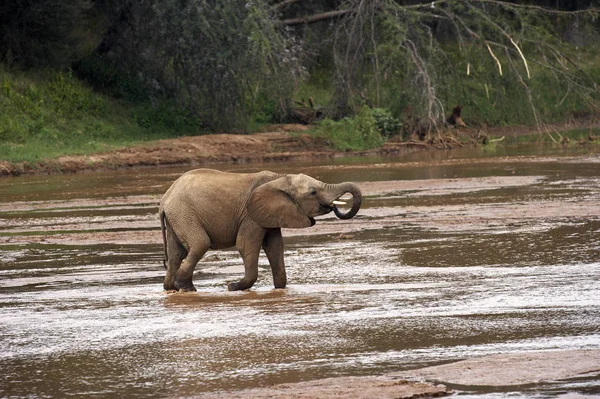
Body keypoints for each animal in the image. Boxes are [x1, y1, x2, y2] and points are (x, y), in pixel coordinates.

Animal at [159, 167, 360, 292]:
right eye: (313, 192)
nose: (333, 207)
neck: (280, 178)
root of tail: (165, 199)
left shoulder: (271, 213)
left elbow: (275, 247)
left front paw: (280, 289)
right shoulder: (250, 215)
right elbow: (246, 245)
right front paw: (233, 287)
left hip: (176, 217)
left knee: (176, 252)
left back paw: (172, 288)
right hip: (183, 213)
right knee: (200, 244)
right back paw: (186, 287)